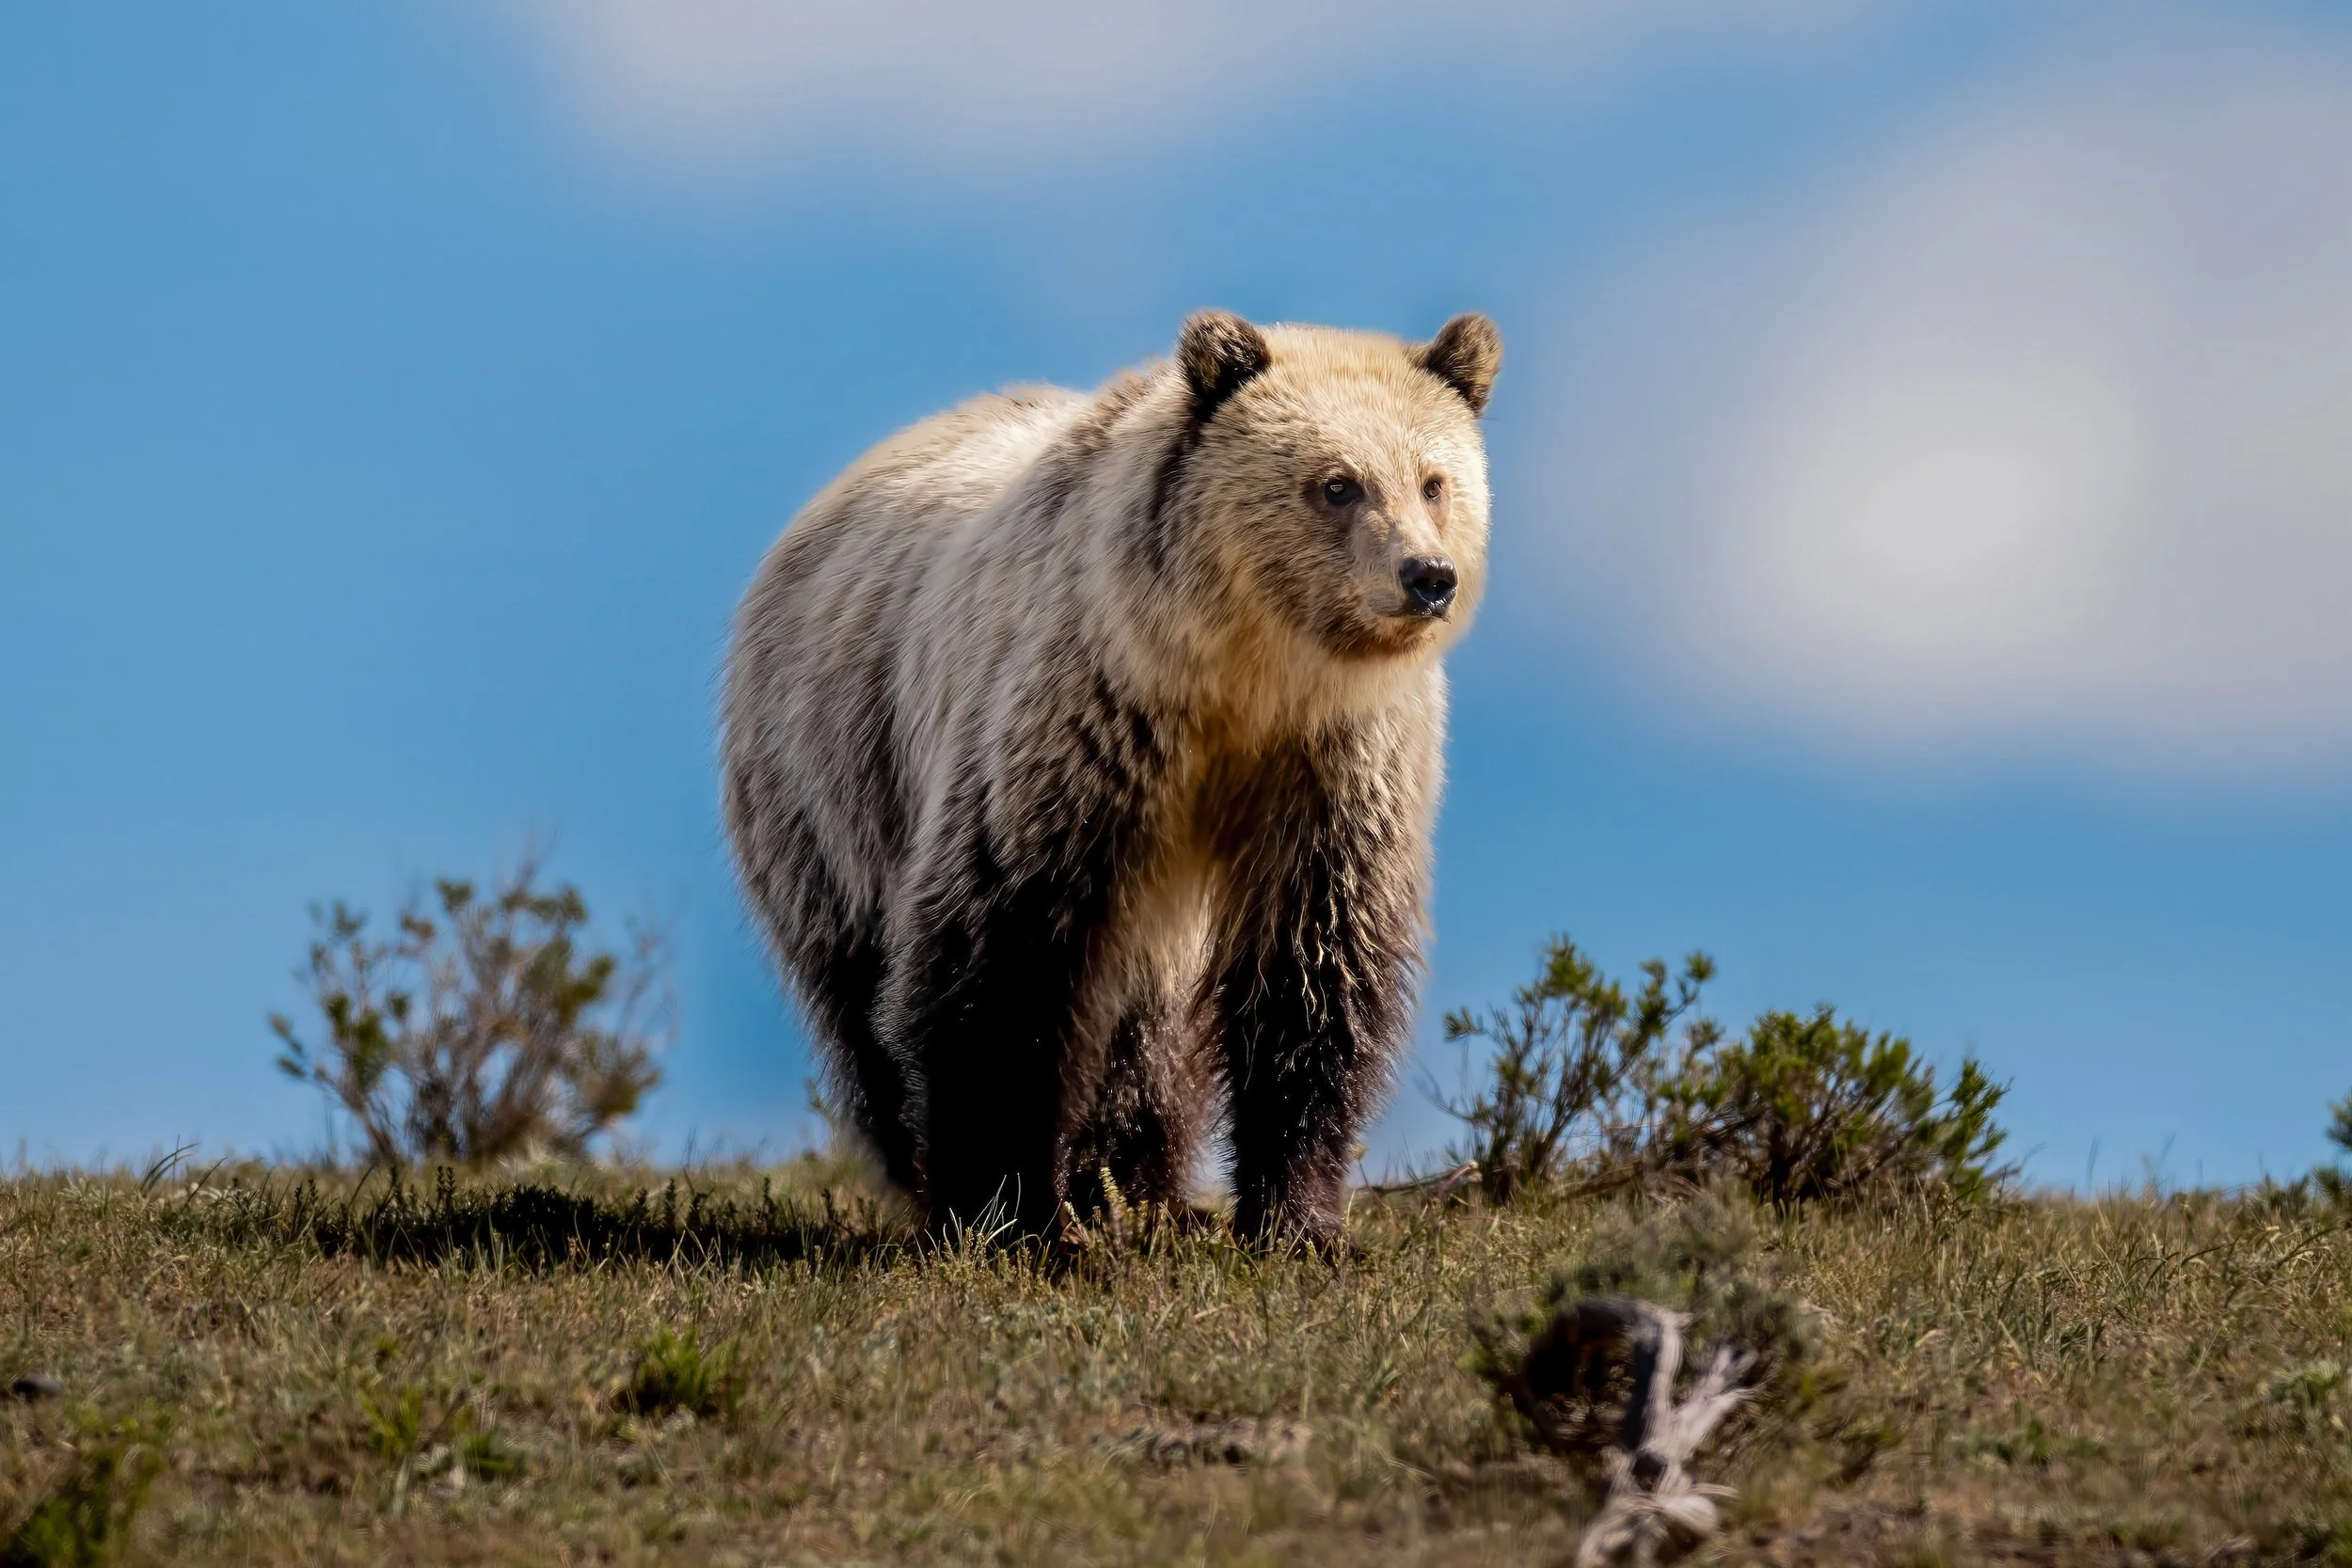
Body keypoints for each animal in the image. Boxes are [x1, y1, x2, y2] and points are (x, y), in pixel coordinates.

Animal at [720, 308, 1500, 1247]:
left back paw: (1136, 1184)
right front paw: (1012, 1213)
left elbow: (1317, 966)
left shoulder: (1333, 763)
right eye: (1338, 484)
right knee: (861, 999)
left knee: (1147, 1026)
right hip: (833, 780)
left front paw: (1299, 1218)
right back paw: (935, 1172)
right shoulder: (1085, 722)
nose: (1427, 576)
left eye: (1433, 480)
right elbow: (1005, 957)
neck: (1245, 676)